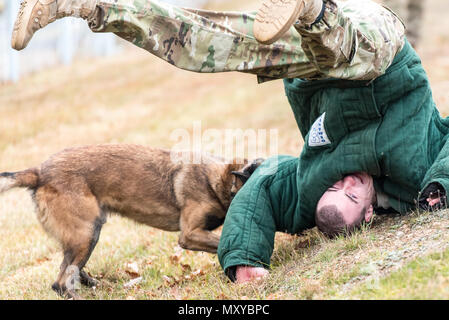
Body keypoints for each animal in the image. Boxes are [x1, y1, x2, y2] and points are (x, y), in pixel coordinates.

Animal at [0, 144, 262, 298]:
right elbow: (220, 243)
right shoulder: (189, 234)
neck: (218, 180)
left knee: (70, 270)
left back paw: (96, 285)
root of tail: (39, 172)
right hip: (86, 233)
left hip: (87, 234)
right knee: (61, 283)